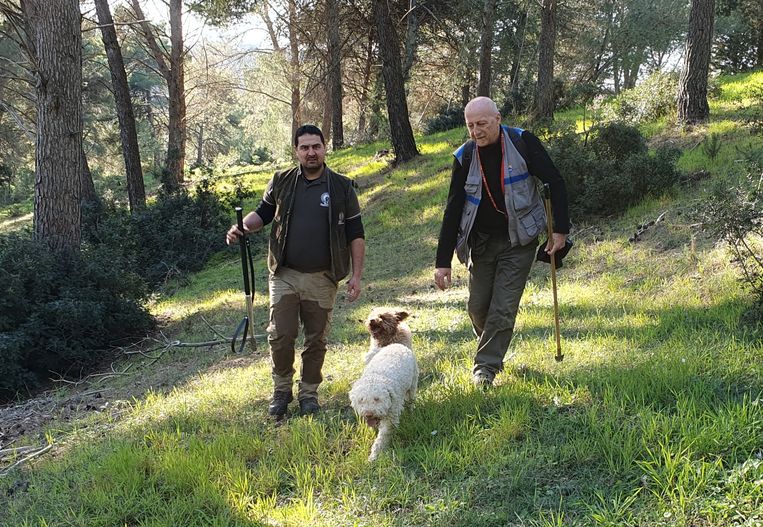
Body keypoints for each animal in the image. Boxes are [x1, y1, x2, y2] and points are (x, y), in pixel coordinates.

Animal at [350, 310, 418, 462]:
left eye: (377, 399)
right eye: (361, 400)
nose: (369, 414)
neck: (377, 376)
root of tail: (395, 345)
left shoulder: (390, 417)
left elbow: (382, 437)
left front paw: (374, 455)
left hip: (412, 384)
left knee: (410, 399)